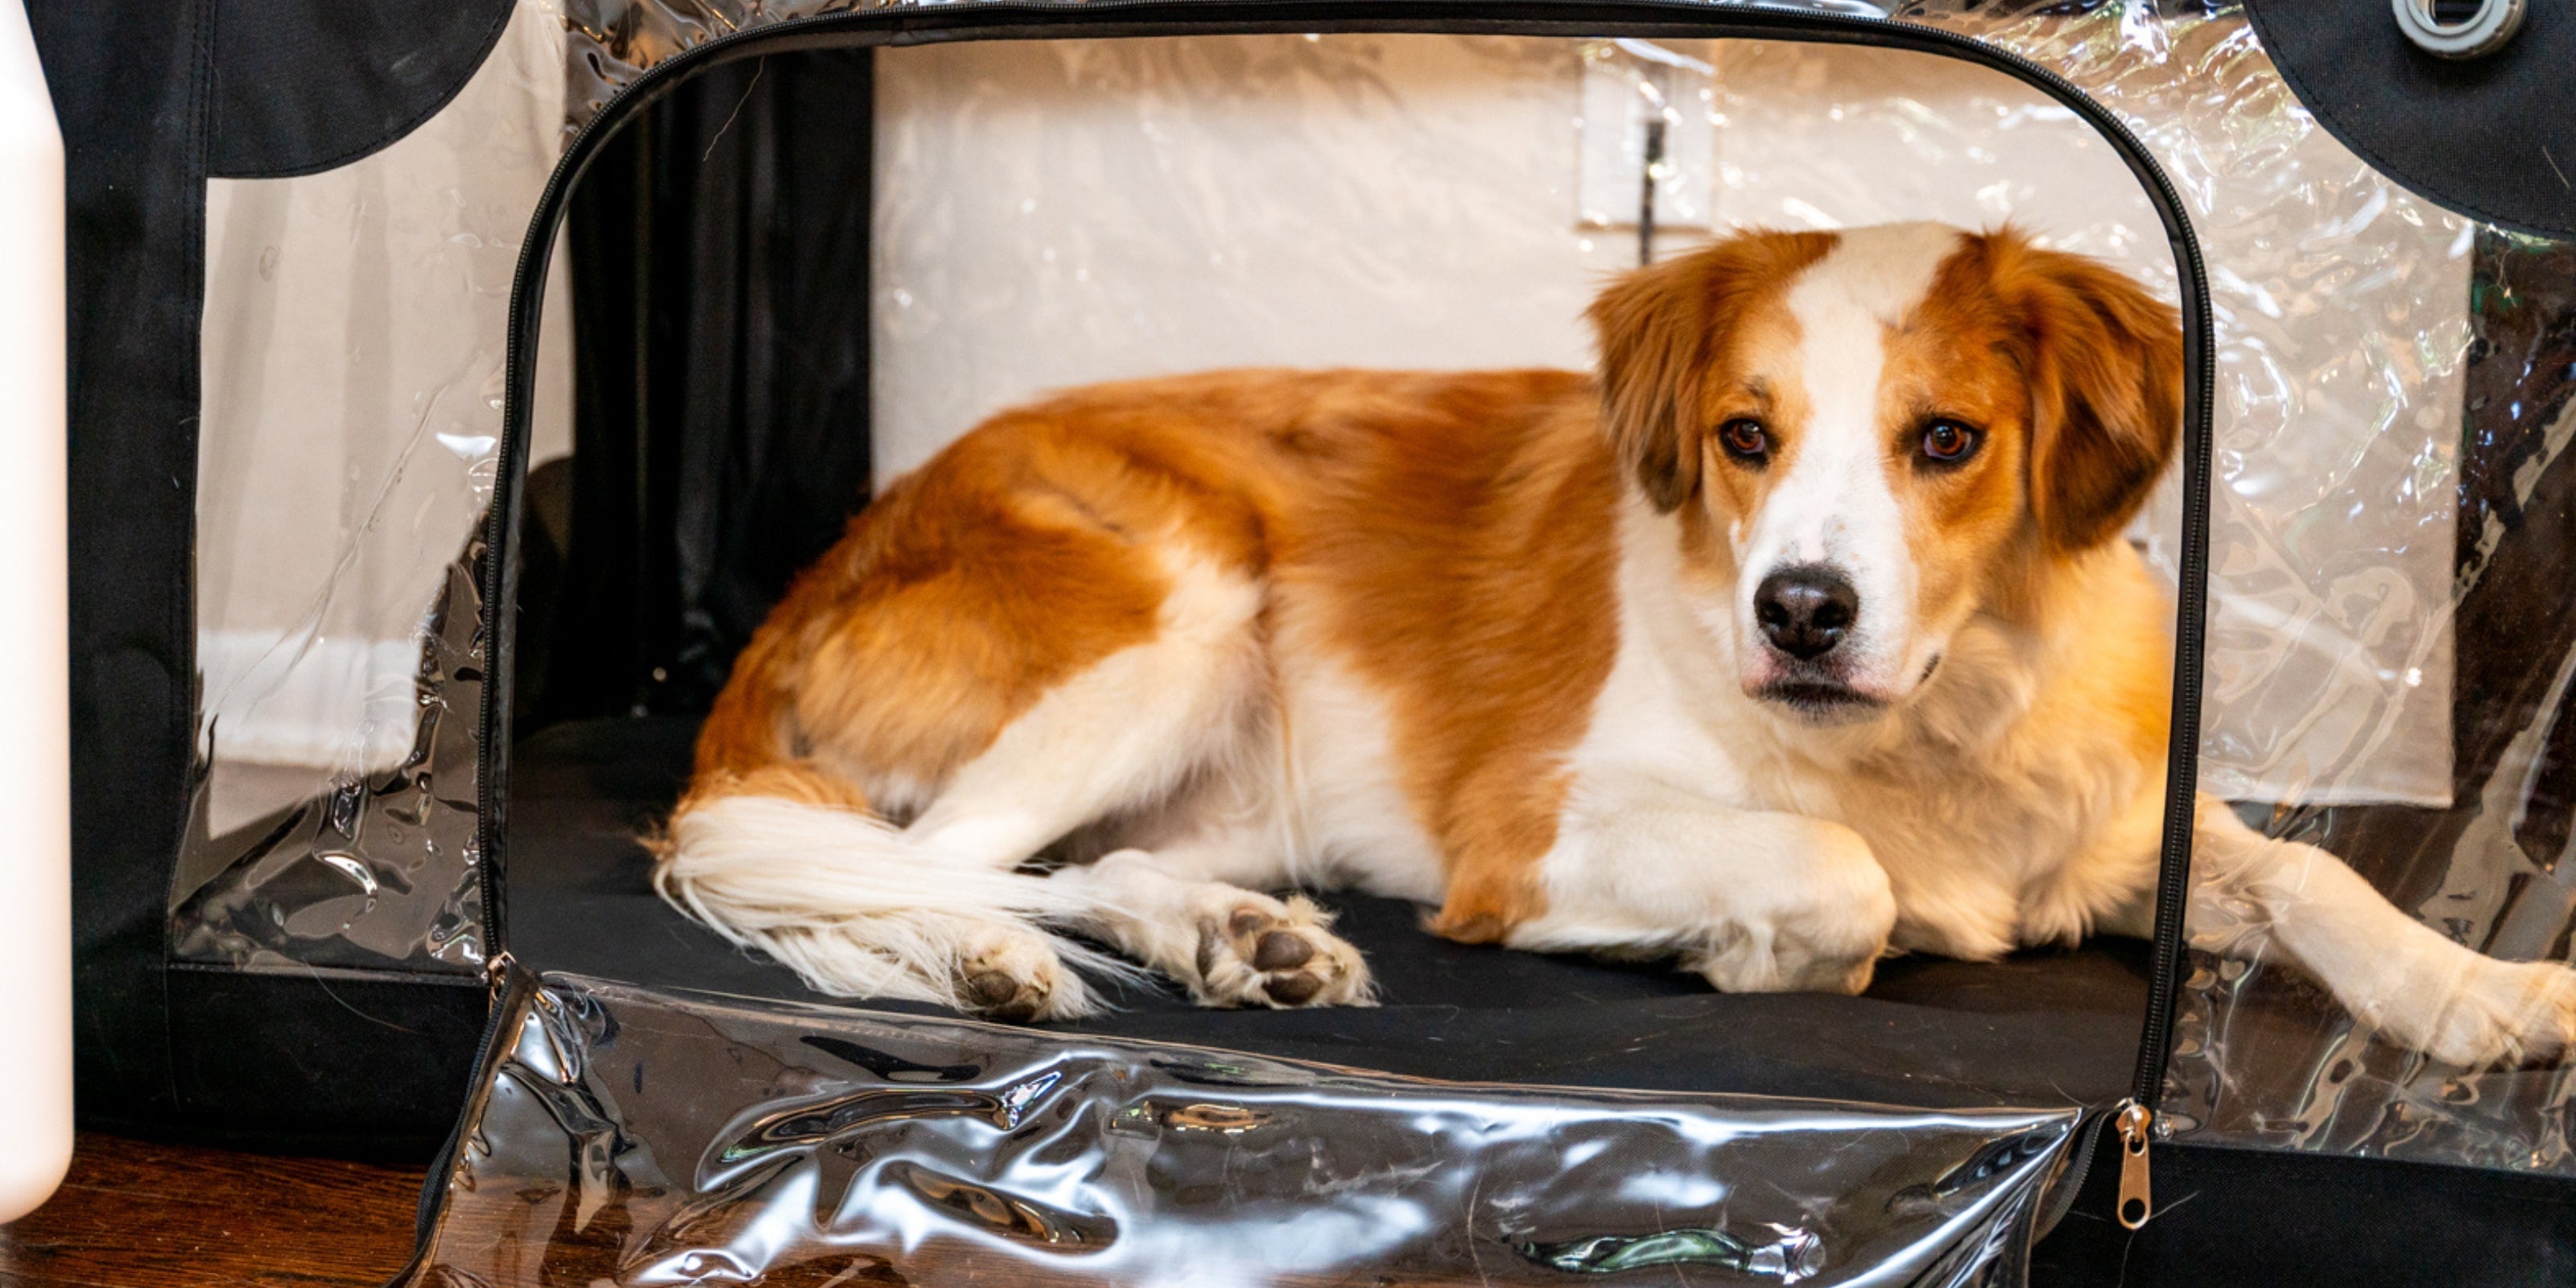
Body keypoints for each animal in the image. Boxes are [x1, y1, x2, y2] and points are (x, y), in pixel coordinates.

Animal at [654, 221, 2576, 1066]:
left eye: (1946, 439)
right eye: (1745, 434)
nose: (1800, 612)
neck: (1931, 723)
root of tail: (826, 562)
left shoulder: (2113, 823)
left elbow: (2311, 876)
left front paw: (2481, 992)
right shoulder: (1526, 836)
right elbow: (1839, 878)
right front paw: (1752, 947)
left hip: (1228, 773)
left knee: (1085, 867)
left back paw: (1226, 939)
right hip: (1181, 616)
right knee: (914, 859)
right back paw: (985, 956)